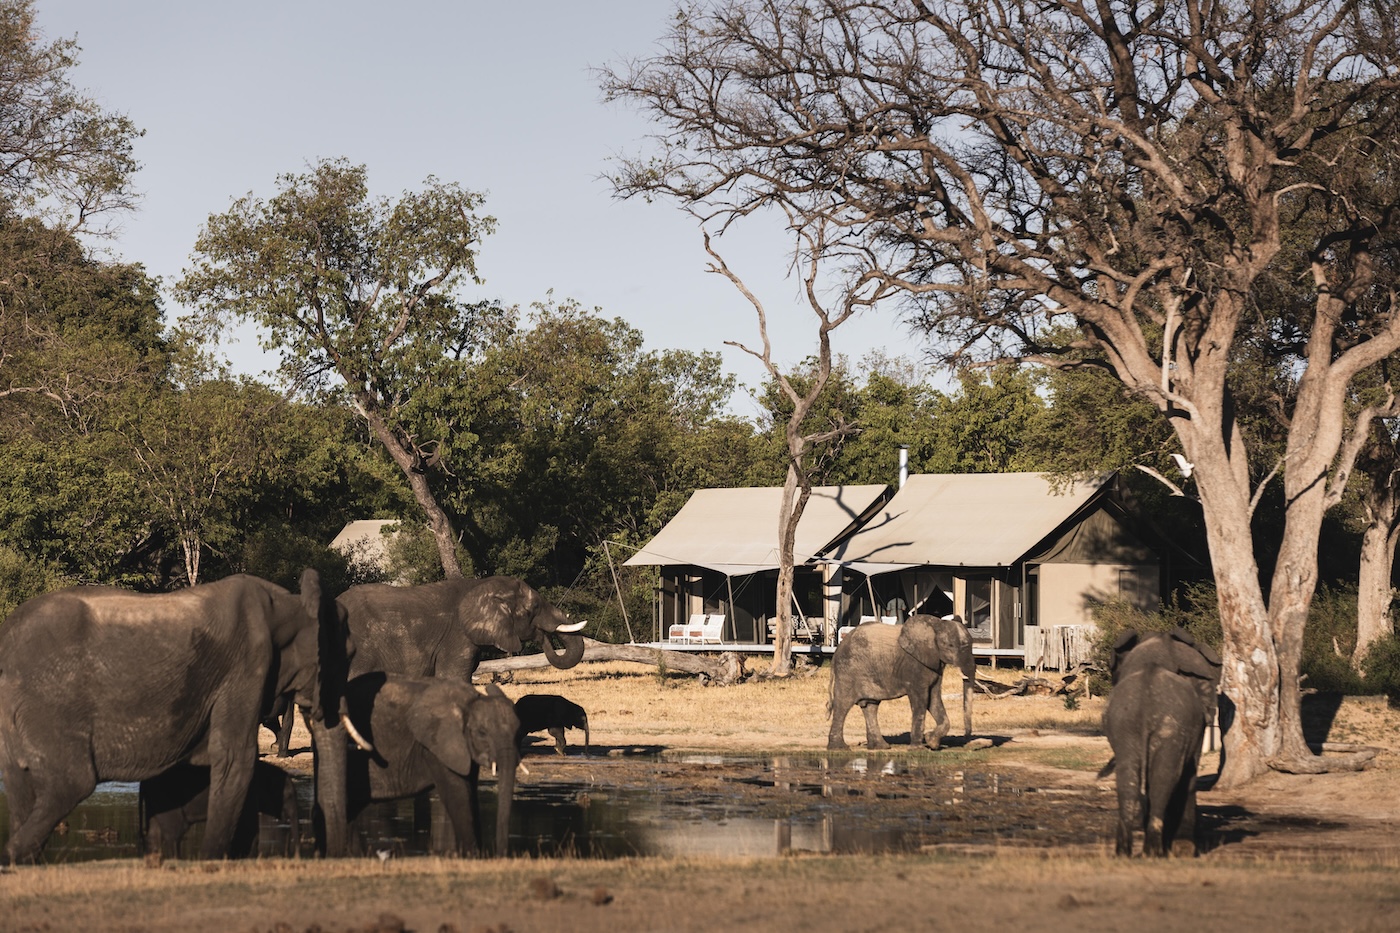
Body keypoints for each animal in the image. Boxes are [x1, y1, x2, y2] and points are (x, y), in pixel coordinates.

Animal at [140, 759, 300, 859]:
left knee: (155, 832)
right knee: (176, 831)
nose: (296, 855)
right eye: (289, 796)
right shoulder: (248, 794)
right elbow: (248, 827)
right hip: (166, 797)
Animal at [339, 576, 588, 682]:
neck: (480, 585)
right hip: (360, 654)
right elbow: (453, 678)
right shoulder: (457, 638)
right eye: (533, 608)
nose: (543, 636)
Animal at [341, 672, 521, 857]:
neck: (467, 703)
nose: (501, 855)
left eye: (518, 731)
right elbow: (457, 794)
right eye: (482, 733)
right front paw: (472, 856)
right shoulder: (435, 744)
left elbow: (470, 790)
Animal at [827, 614, 975, 750]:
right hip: (848, 670)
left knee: (870, 706)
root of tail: (836, 652)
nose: (966, 741)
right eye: (950, 646)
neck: (935, 624)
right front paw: (919, 748)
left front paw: (931, 742)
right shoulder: (914, 665)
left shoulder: (935, 665)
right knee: (843, 704)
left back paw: (881, 747)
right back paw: (839, 748)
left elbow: (933, 699)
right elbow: (921, 700)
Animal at [1102, 627, 1222, 857]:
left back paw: (1126, 852)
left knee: (1130, 776)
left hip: (1126, 722)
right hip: (1170, 723)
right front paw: (1183, 849)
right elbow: (1188, 775)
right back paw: (1156, 851)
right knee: (1165, 776)